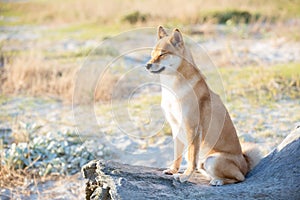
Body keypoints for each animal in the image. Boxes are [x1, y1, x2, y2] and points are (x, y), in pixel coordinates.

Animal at [145, 26, 260, 186]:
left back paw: (218, 181)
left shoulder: (192, 128)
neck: (172, 88)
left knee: (239, 178)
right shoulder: (176, 128)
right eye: (152, 54)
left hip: (212, 159)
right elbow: (177, 155)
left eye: (163, 54)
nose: (147, 65)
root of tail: (245, 164)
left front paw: (185, 176)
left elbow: (191, 158)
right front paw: (173, 170)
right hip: (203, 162)